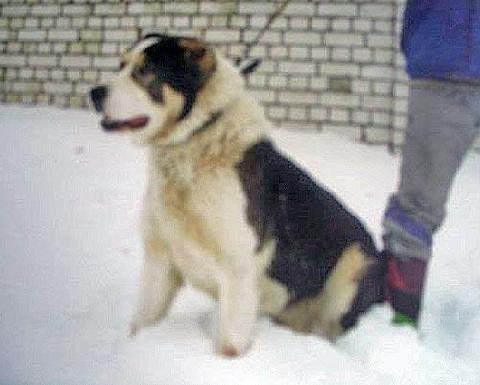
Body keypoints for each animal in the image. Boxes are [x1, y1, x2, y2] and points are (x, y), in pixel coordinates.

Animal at [89, 34, 382, 356]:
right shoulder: (159, 260)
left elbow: (229, 346)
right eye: (121, 65)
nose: (94, 93)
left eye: (144, 71)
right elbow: (141, 323)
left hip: (351, 268)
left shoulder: (237, 271)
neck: (196, 138)